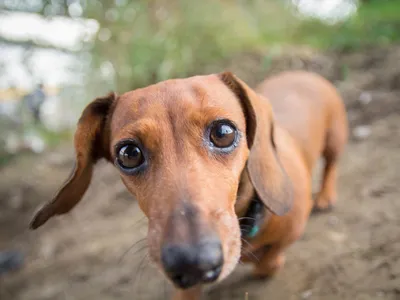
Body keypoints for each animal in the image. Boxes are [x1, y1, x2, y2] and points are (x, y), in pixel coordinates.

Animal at [29, 71, 346, 300]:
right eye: (128, 154)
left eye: (223, 132)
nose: (193, 264)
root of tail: (302, 73)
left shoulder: (291, 231)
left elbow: (267, 262)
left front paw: (266, 262)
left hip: (334, 140)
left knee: (331, 166)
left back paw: (326, 196)